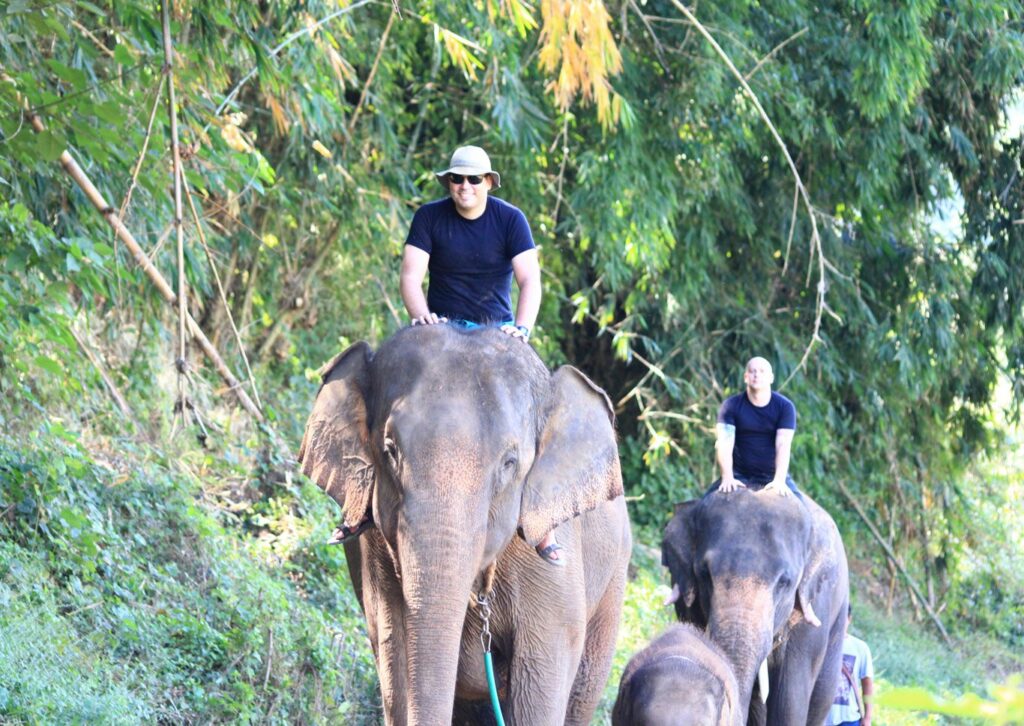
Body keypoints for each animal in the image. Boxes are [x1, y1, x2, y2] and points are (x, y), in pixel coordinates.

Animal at [299, 324, 632, 725]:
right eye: (390, 449)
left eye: (509, 463)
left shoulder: (550, 577)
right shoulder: (375, 553)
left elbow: (539, 687)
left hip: (614, 584)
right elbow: (394, 655)